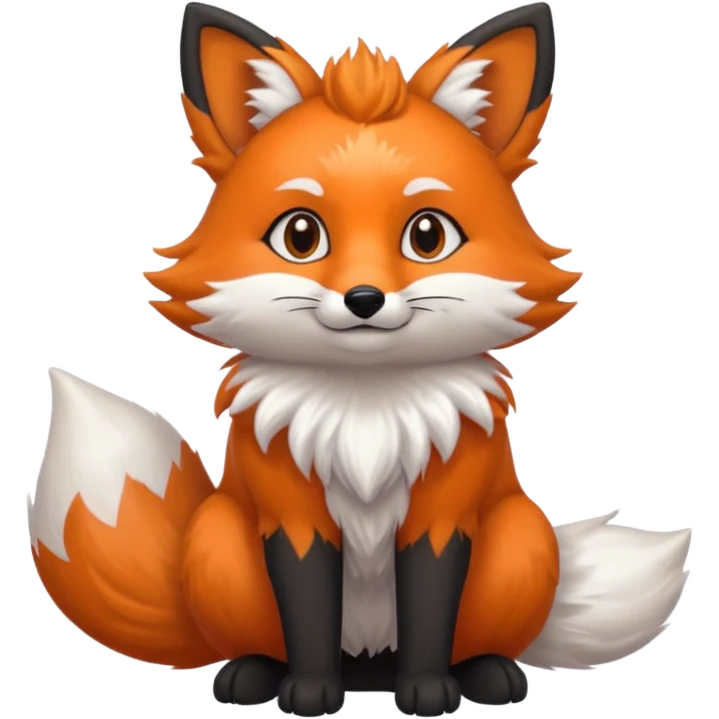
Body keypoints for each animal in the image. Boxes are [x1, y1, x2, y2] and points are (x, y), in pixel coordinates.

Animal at [27, 2, 692, 717]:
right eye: (301, 235)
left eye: (427, 235)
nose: (364, 299)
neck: (366, 412)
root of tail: (369, 666)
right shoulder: (293, 517)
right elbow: (308, 610)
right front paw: (310, 692)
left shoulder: (441, 516)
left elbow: (431, 609)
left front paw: (427, 691)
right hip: (215, 539)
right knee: (261, 639)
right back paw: (256, 674)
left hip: (521, 535)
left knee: (476, 638)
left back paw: (484, 674)